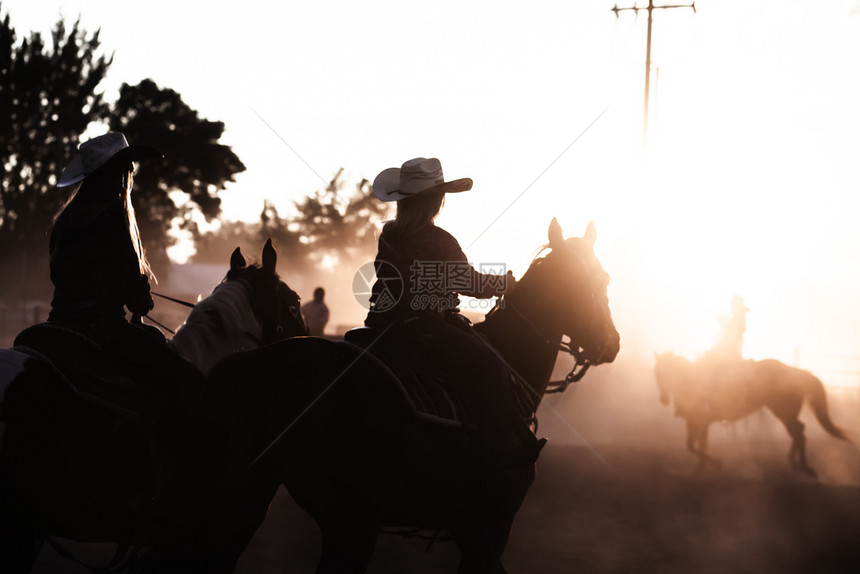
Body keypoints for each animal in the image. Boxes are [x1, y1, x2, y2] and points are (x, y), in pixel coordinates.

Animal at [205, 218, 620, 572]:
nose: (611, 343)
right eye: (594, 280)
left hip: (249, 499)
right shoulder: (489, 533)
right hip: (352, 527)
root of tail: (255, 363)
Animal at [656, 354, 848, 480]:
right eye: (656, 373)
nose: (663, 399)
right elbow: (692, 446)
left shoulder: (701, 422)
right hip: (785, 413)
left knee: (798, 433)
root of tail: (795, 373)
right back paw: (797, 465)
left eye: (665, 373)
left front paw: (714, 464)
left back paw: (804, 468)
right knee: (799, 432)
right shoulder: (694, 422)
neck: (691, 383)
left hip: (783, 412)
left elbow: (699, 447)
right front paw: (699, 470)